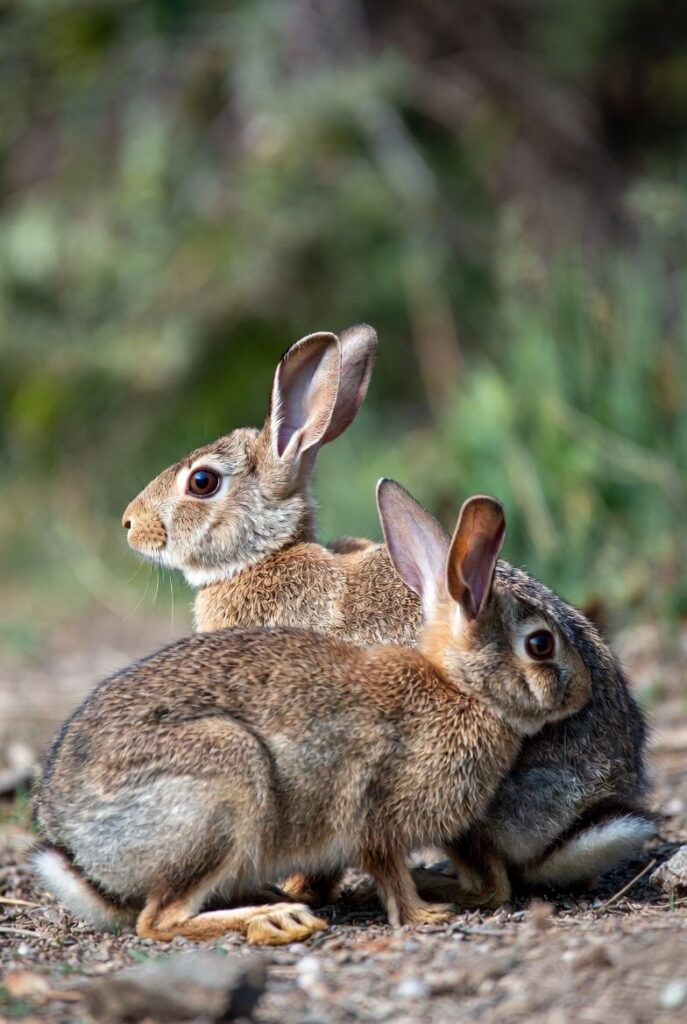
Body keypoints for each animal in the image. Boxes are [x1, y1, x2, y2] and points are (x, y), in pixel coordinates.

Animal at [34, 486, 592, 946]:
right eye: (541, 644)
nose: (583, 692)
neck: (460, 689)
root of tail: (75, 844)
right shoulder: (374, 813)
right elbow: (388, 871)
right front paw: (425, 915)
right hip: (223, 785)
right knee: (159, 919)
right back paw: (275, 919)